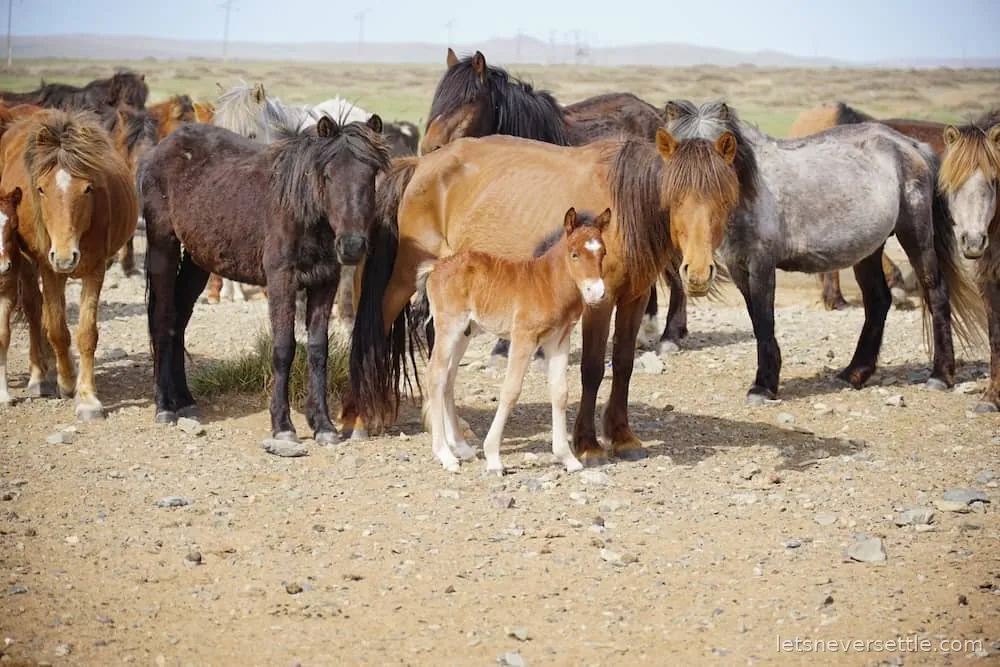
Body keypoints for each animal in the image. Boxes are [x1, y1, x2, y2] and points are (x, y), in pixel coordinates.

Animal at [0, 109, 138, 420]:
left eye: (88, 188)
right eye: (40, 189)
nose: (65, 257)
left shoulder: (96, 269)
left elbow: (86, 333)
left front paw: (87, 398)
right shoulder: (49, 269)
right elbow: (56, 329)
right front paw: (65, 381)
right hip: (28, 263)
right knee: (34, 308)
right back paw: (40, 376)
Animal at [139, 113, 390, 444]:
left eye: (371, 175)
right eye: (327, 175)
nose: (351, 246)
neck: (301, 210)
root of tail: (159, 149)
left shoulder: (325, 283)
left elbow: (318, 350)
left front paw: (322, 424)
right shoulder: (281, 280)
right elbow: (284, 348)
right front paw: (283, 425)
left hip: (198, 259)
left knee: (179, 321)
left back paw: (186, 402)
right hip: (163, 248)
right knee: (164, 320)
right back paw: (165, 406)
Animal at [419, 206, 610, 474]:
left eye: (603, 252)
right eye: (574, 254)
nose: (597, 293)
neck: (548, 284)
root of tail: (436, 268)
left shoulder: (559, 340)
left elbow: (560, 392)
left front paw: (568, 458)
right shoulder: (523, 337)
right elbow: (511, 390)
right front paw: (493, 457)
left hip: (465, 332)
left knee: (448, 378)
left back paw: (462, 448)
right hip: (449, 327)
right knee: (435, 375)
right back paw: (445, 455)